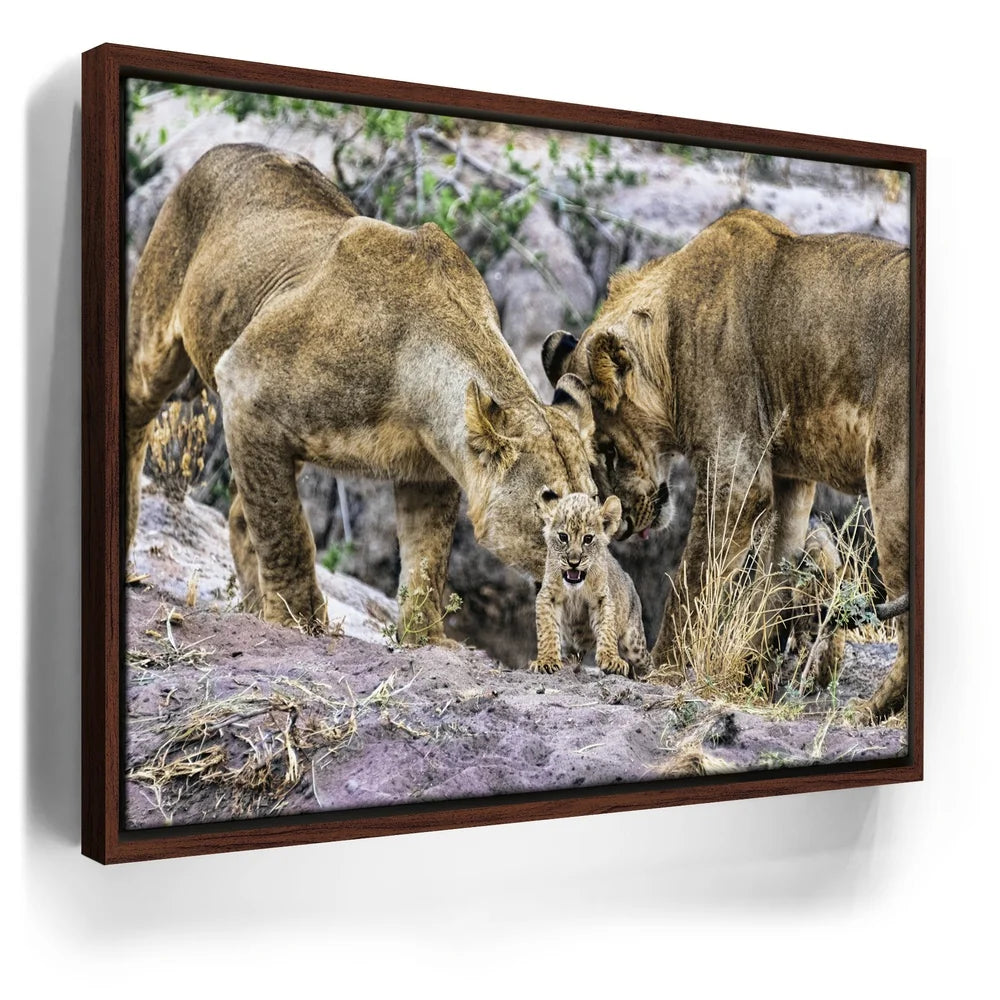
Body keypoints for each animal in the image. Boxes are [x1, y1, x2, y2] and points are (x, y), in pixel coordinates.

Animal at [127, 143, 597, 641]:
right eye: (552, 508)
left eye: (598, 512)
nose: (585, 568)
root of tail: (225, 148)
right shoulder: (244, 384)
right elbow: (285, 531)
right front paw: (299, 621)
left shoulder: (431, 472)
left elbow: (427, 562)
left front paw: (426, 640)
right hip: (158, 344)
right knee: (137, 419)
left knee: (239, 513)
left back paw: (252, 607)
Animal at [530, 492, 650, 678]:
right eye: (563, 537)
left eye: (588, 539)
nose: (573, 563)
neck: (575, 589)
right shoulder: (548, 595)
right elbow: (547, 630)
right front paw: (547, 660)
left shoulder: (602, 598)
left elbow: (607, 628)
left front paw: (611, 660)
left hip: (634, 642)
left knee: (646, 661)